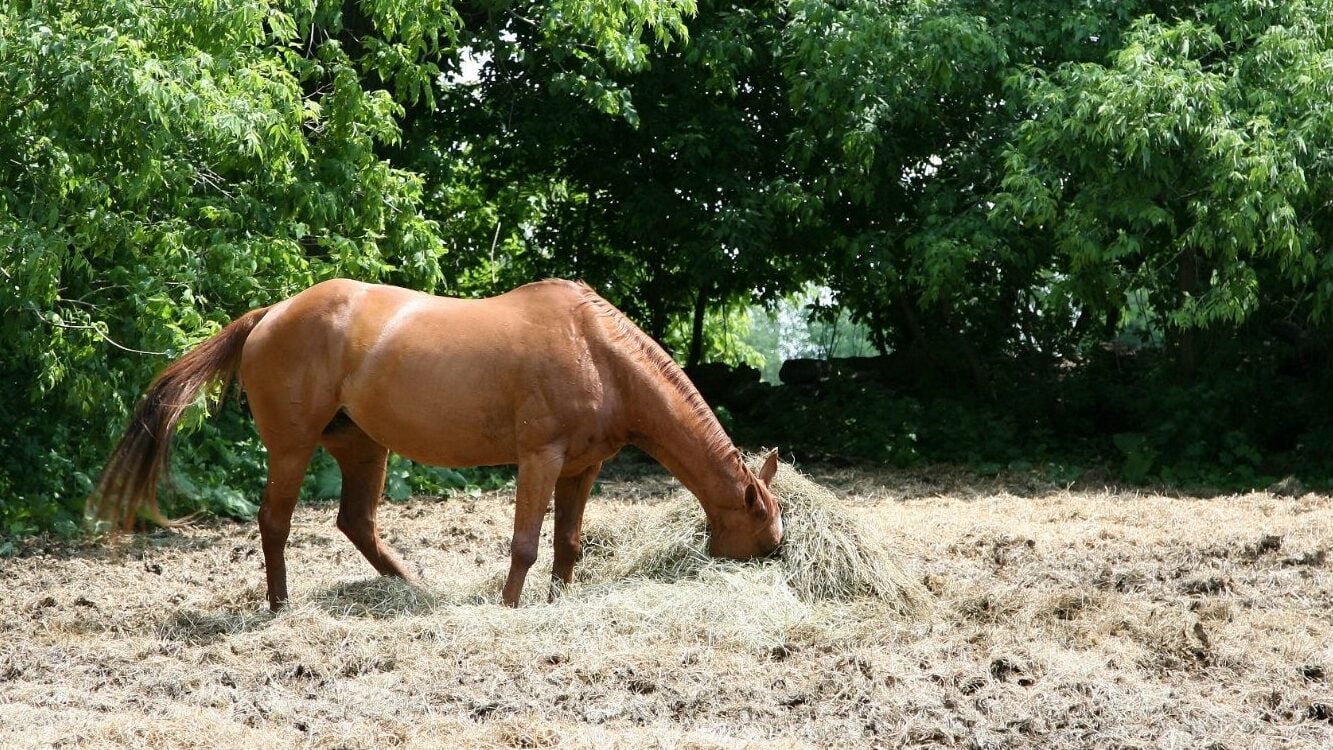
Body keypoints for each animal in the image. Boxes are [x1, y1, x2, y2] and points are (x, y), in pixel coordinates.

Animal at [89, 278, 784, 610]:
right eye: (767, 535)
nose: (772, 564)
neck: (597, 350)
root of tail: (268, 316)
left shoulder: (581, 470)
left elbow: (568, 544)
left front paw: (558, 601)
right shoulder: (541, 459)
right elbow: (527, 544)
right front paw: (509, 608)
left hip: (364, 449)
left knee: (357, 522)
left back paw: (412, 589)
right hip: (292, 448)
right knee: (275, 521)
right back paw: (279, 605)